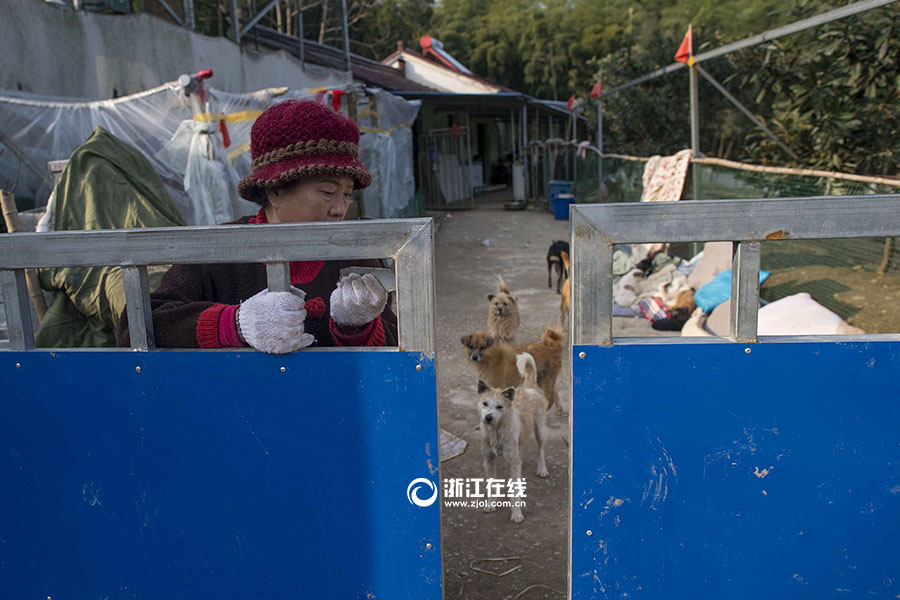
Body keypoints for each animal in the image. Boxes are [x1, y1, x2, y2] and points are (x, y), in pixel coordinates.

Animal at [478, 354, 548, 524]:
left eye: (500, 407)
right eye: (485, 403)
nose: (488, 418)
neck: (496, 431)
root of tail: (528, 387)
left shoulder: (514, 465)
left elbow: (515, 492)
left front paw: (517, 514)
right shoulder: (488, 461)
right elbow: (491, 485)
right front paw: (491, 504)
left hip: (540, 430)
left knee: (540, 450)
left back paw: (542, 469)